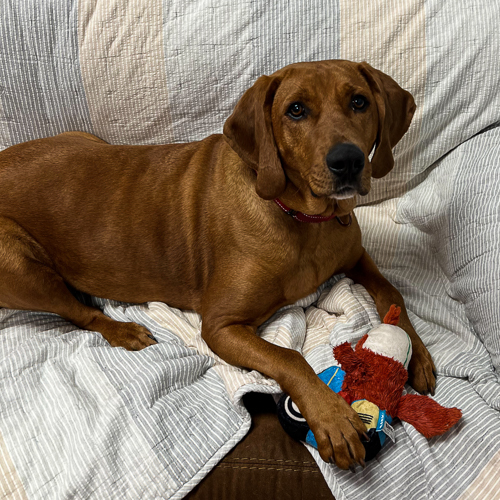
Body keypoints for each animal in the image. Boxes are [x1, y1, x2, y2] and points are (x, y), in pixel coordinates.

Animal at [0, 60, 434, 470]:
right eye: (295, 110)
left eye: (359, 101)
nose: (348, 161)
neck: (303, 217)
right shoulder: (220, 326)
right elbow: (289, 357)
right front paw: (332, 417)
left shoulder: (356, 256)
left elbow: (391, 291)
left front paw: (416, 353)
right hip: (21, 266)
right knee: (78, 312)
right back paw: (123, 330)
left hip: (87, 139)